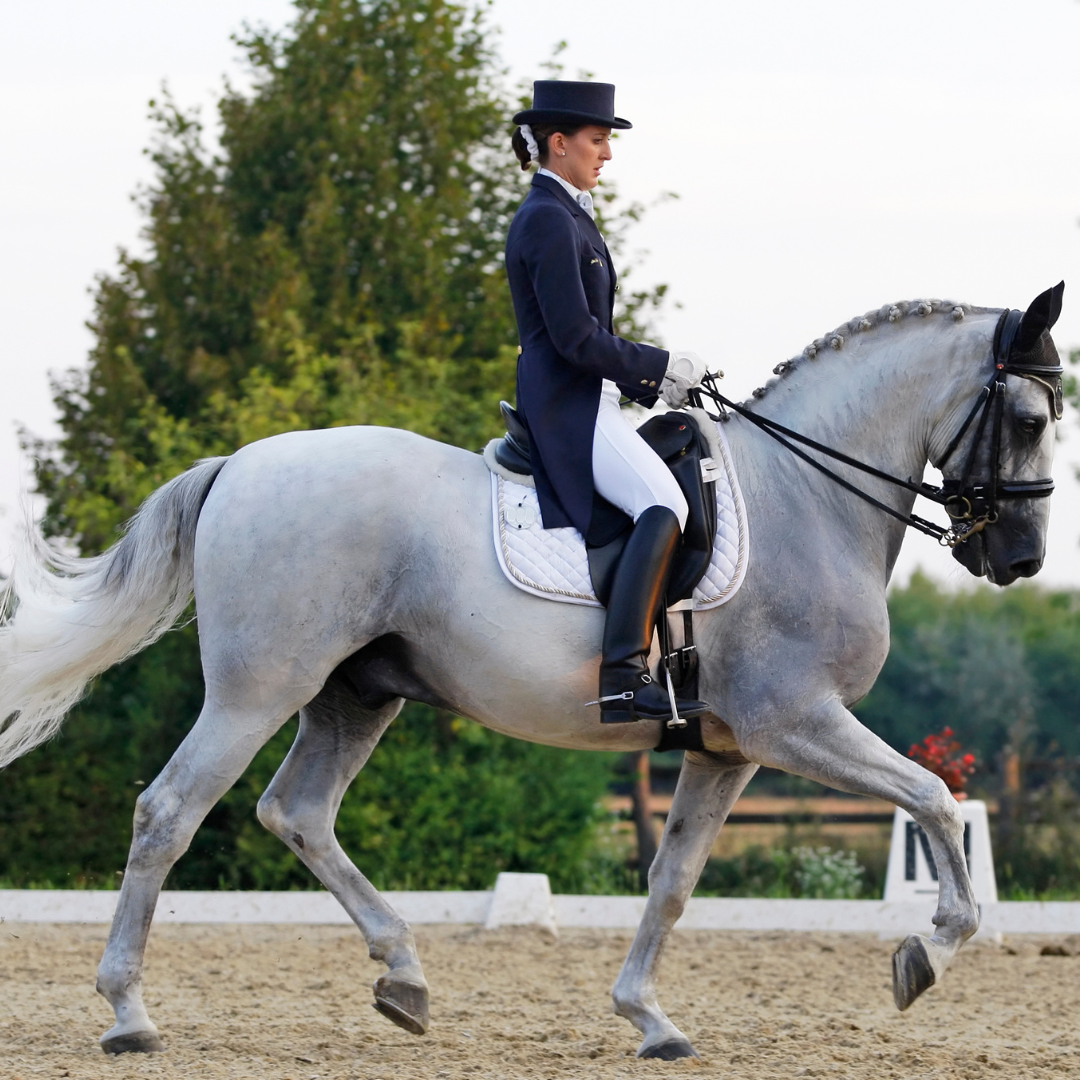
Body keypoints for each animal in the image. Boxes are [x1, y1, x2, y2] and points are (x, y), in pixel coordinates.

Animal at [0, 287, 1063, 1060]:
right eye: (1025, 415)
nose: (1020, 559)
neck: (804, 495)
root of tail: (239, 465)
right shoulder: (793, 720)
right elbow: (932, 797)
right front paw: (927, 951)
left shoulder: (725, 749)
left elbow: (673, 878)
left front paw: (649, 1019)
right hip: (258, 689)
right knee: (169, 812)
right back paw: (130, 1015)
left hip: (357, 695)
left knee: (296, 812)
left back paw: (404, 977)